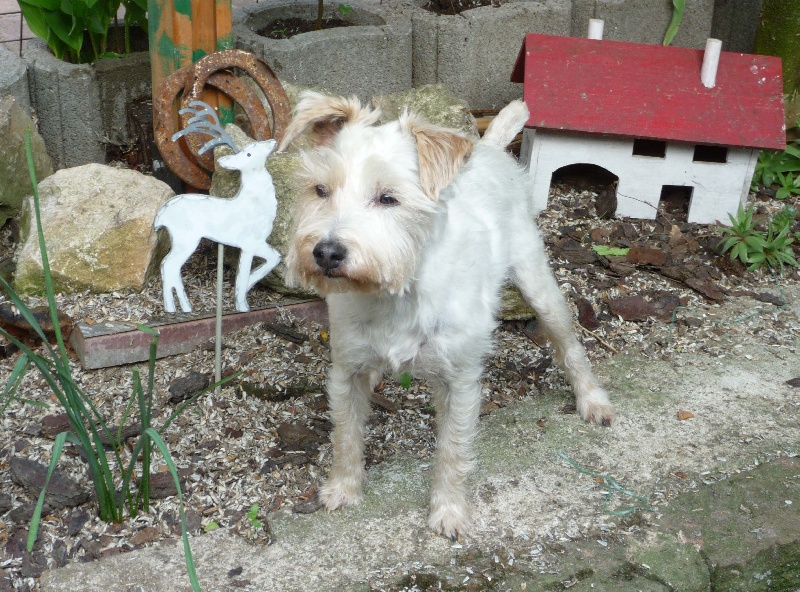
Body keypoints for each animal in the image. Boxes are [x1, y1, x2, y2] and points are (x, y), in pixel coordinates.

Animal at [278, 90, 616, 540]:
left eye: (388, 198)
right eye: (320, 190)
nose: (327, 252)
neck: (397, 291)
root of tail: (489, 148)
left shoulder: (459, 381)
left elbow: (452, 451)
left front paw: (449, 510)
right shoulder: (346, 370)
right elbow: (346, 435)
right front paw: (343, 487)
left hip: (537, 284)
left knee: (569, 343)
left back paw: (591, 399)